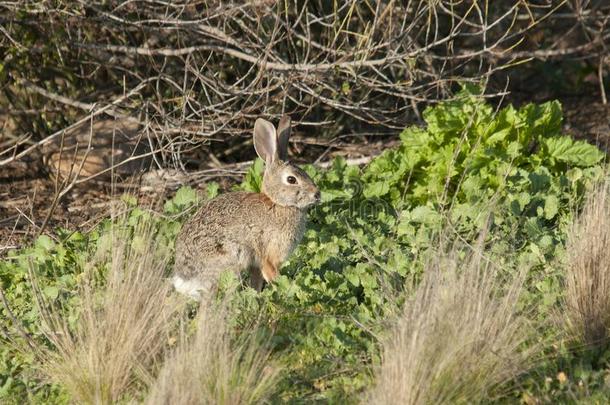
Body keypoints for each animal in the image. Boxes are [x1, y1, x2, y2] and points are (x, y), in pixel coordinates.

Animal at [171, 115, 320, 298]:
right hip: (231, 260)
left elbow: (257, 281)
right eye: (291, 179)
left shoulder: (257, 266)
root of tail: (184, 280)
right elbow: (271, 274)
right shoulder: (269, 254)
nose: (317, 194)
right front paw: (281, 289)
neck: (278, 203)